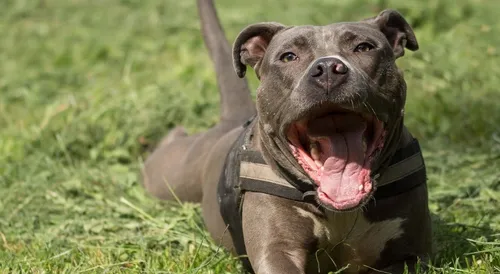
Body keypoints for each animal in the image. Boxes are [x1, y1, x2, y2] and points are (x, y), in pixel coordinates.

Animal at [143, 1, 432, 272]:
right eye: (288, 56)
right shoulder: (277, 250)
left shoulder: (411, 253)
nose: (328, 67)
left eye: (364, 47)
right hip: (169, 177)